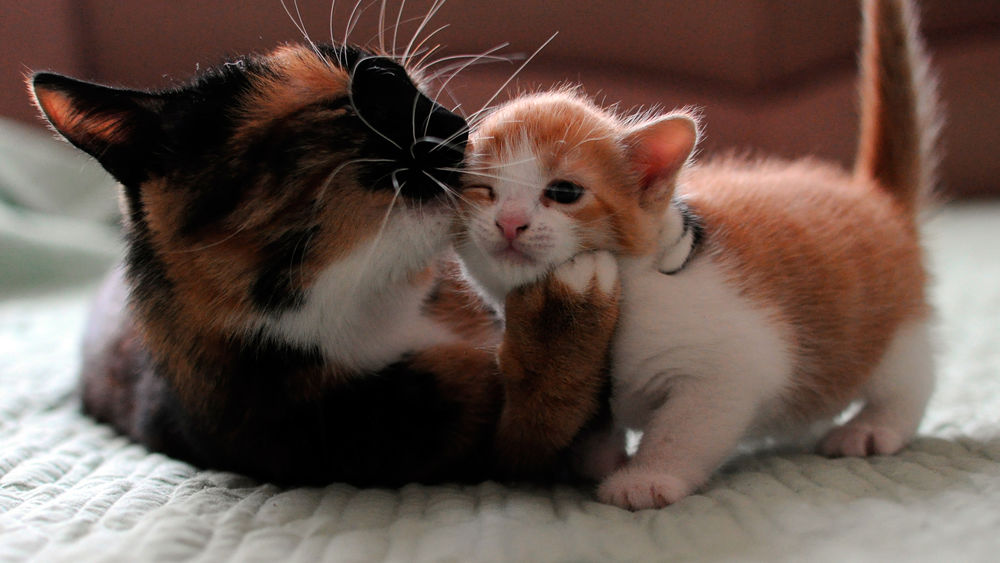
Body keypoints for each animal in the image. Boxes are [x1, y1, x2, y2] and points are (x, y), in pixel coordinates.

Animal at [31, 41, 616, 486]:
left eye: (400, 79)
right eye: (356, 102)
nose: (458, 125)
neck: (371, 303)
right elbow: (538, 423)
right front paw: (572, 300)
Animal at [454, 0, 936, 512]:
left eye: (564, 192)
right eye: (482, 190)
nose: (509, 222)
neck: (630, 292)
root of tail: (874, 196)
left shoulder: (731, 364)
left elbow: (684, 427)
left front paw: (646, 478)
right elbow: (589, 418)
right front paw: (600, 460)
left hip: (894, 330)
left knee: (912, 379)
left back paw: (873, 427)